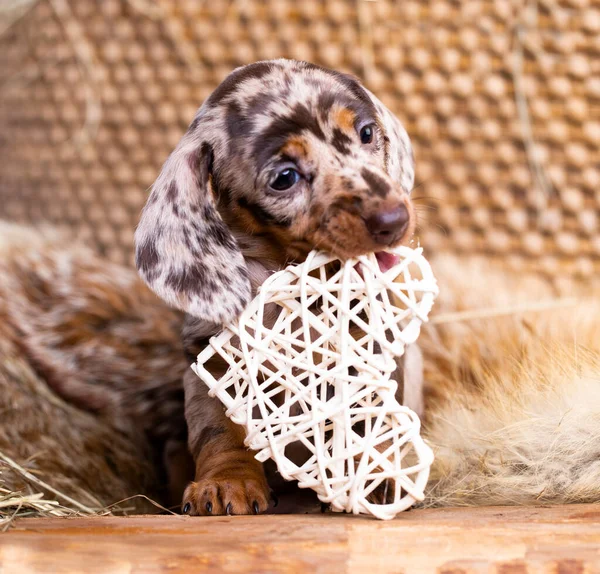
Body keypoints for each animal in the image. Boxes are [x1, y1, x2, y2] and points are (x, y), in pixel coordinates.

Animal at [135, 58, 418, 516]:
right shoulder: (213, 366)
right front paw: (227, 481)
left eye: (366, 133)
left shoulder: (367, 356)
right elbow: (219, 431)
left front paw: (370, 478)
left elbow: (366, 421)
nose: (394, 219)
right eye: (285, 178)